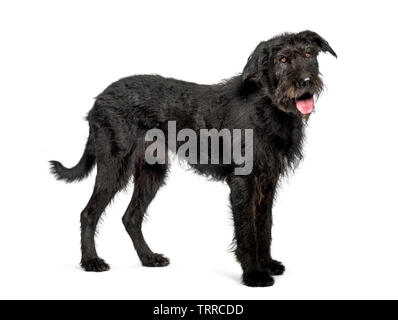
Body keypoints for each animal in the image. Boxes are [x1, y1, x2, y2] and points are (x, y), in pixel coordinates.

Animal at [50, 30, 336, 288]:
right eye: (283, 60)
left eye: (309, 54)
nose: (306, 81)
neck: (267, 104)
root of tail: (99, 99)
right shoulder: (244, 182)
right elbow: (247, 231)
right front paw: (254, 274)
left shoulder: (267, 182)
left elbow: (264, 227)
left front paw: (266, 264)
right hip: (114, 166)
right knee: (88, 213)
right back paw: (91, 261)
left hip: (152, 173)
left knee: (131, 217)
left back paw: (148, 258)